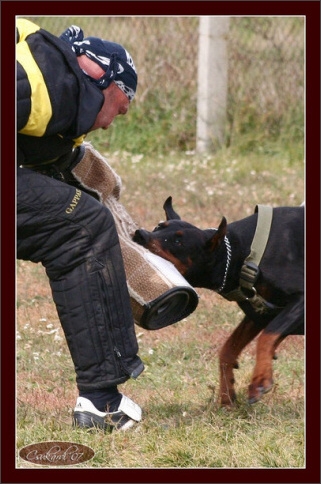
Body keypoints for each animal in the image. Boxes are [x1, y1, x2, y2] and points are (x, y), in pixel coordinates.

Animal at [132, 196, 302, 404]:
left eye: (179, 241)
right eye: (158, 226)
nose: (140, 234)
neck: (243, 252)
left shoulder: (299, 301)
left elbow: (267, 336)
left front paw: (259, 380)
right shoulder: (259, 313)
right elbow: (228, 350)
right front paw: (227, 396)